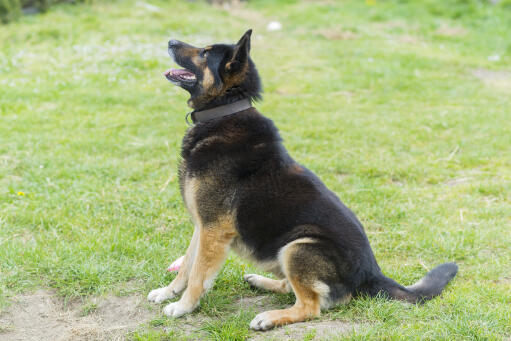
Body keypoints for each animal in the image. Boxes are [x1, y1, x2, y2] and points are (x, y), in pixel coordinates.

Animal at [149, 29, 460, 330]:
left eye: (204, 52)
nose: (170, 40)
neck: (226, 110)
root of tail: (372, 274)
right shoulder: (202, 226)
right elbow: (187, 265)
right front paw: (168, 292)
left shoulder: (213, 230)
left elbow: (198, 274)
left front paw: (183, 307)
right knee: (295, 290)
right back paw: (261, 282)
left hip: (298, 246)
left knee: (310, 306)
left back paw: (269, 318)